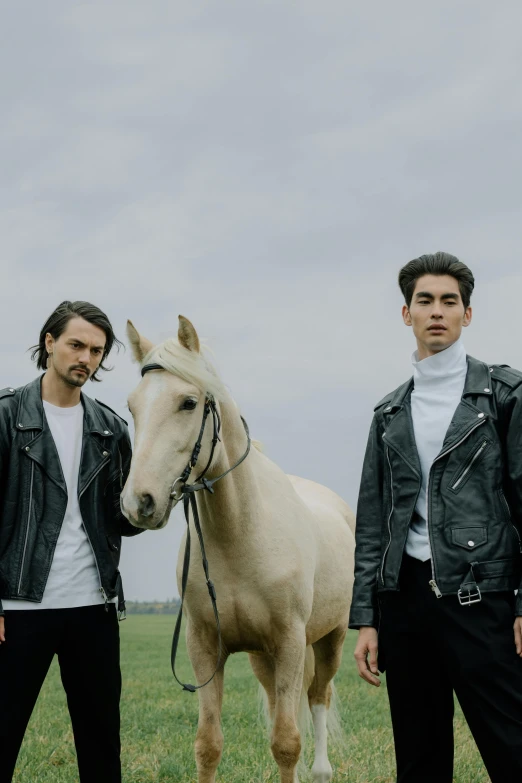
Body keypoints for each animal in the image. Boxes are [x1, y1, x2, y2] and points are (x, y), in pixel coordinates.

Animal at [120, 316, 356, 783]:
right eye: (132, 406)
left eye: (188, 402)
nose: (139, 502)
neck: (242, 535)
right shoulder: (206, 646)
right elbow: (209, 745)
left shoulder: (290, 643)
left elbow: (286, 744)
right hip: (264, 660)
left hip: (330, 640)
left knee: (317, 698)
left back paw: (321, 769)